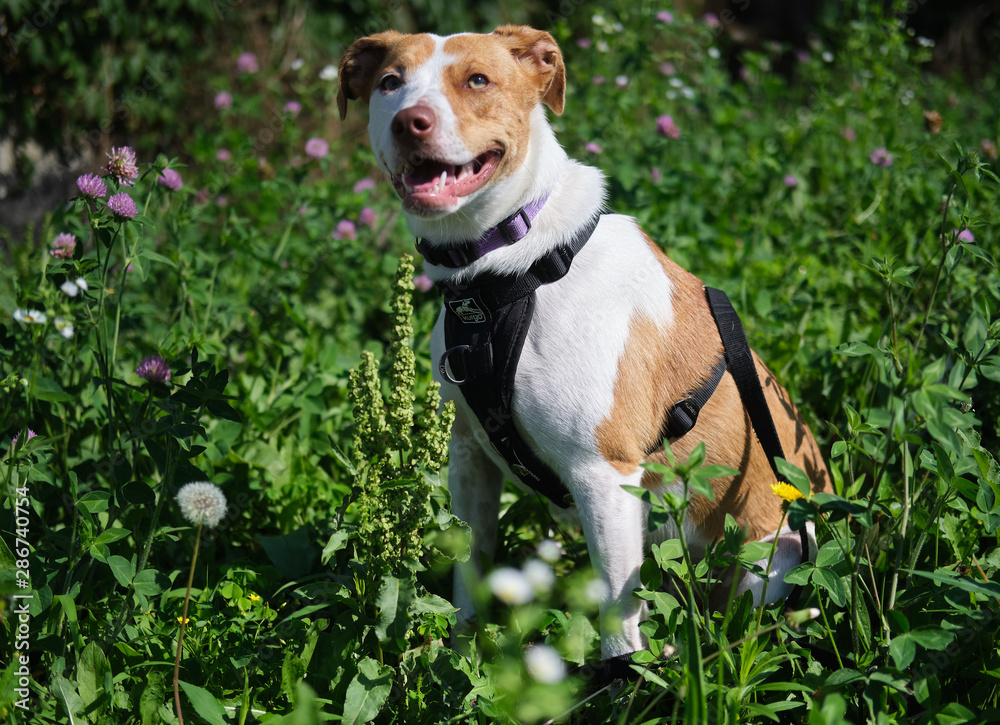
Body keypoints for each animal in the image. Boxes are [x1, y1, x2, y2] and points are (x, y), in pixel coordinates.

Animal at [340, 25, 832, 660]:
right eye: (389, 83)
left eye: (478, 80)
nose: (410, 122)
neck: (508, 269)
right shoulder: (470, 457)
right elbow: (470, 573)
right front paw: (460, 653)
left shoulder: (604, 475)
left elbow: (619, 628)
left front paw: (619, 679)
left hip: (770, 561)